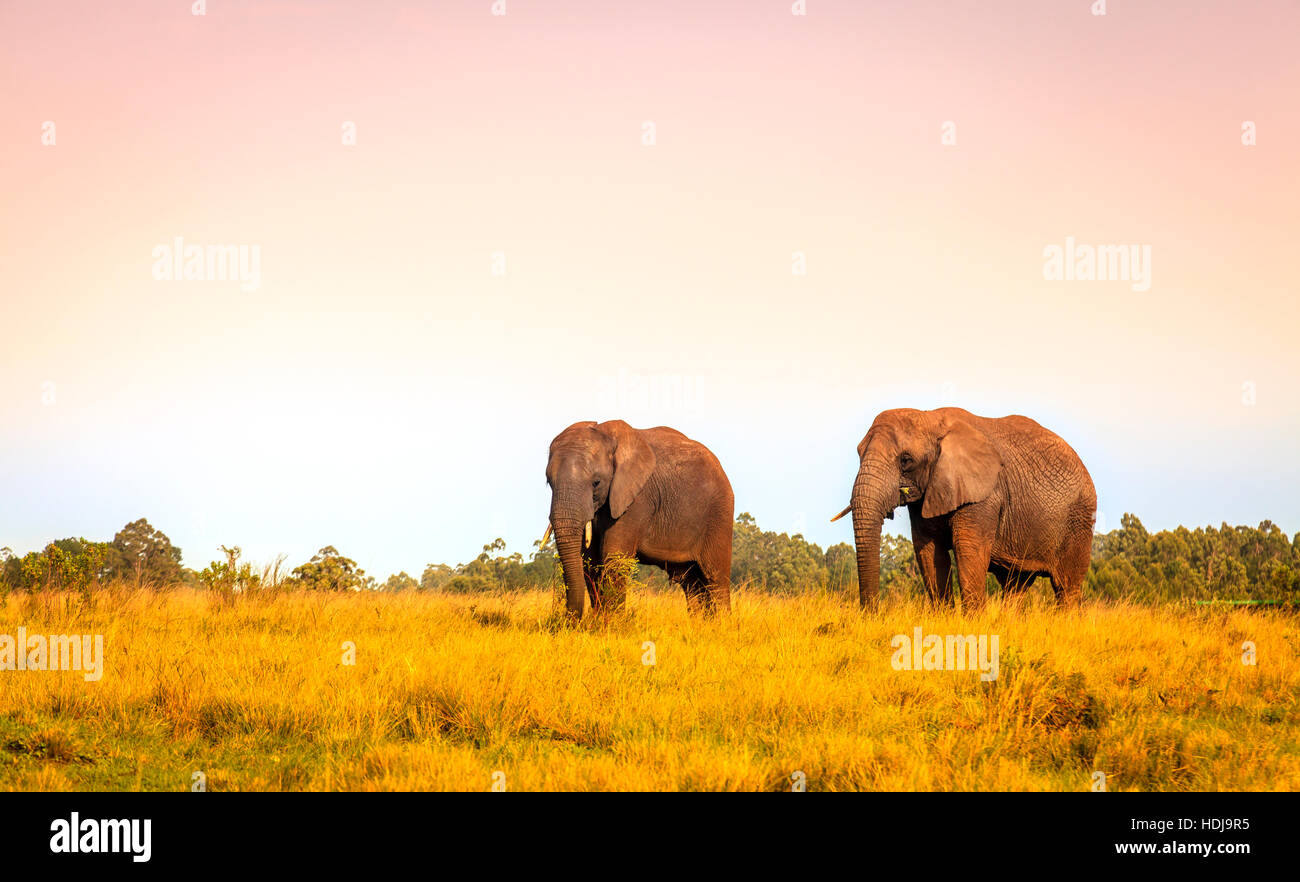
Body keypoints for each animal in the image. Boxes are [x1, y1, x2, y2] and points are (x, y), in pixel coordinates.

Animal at [543, 421, 738, 621]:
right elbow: (589, 561)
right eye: (549, 482)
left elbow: (614, 558)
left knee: (715, 578)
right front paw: (598, 622)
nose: (570, 621)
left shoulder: (636, 499)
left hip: (719, 514)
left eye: (596, 482)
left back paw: (721, 623)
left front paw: (611, 624)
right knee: (691, 583)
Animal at [832, 405, 1097, 608]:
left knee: (1066, 587)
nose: (871, 614)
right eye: (858, 453)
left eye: (906, 460)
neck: (930, 419)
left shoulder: (983, 497)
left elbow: (969, 555)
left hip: (1079, 519)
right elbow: (930, 555)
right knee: (1015, 586)